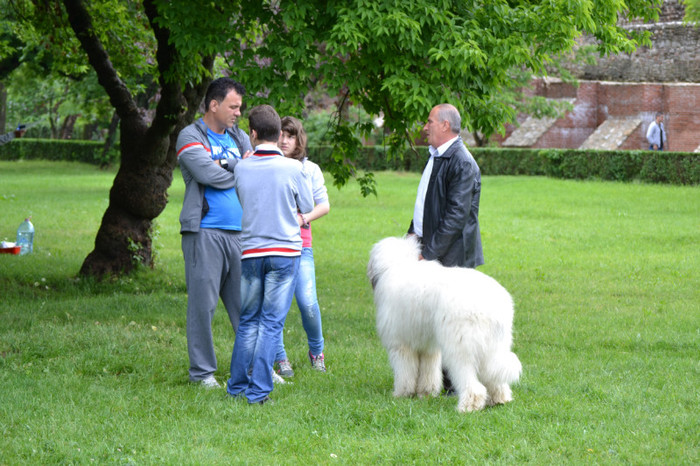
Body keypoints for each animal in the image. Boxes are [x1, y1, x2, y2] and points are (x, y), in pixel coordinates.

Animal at [370, 237, 524, 412]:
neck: (397, 265)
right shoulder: (428, 347)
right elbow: (428, 371)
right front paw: (426, 393)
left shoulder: (401, 345)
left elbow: (405, 372)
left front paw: (402, 394)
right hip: (493, 346)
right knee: (495, 378)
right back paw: (499, 400)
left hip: (460, 348)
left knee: (472, 384)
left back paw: (467, 406)